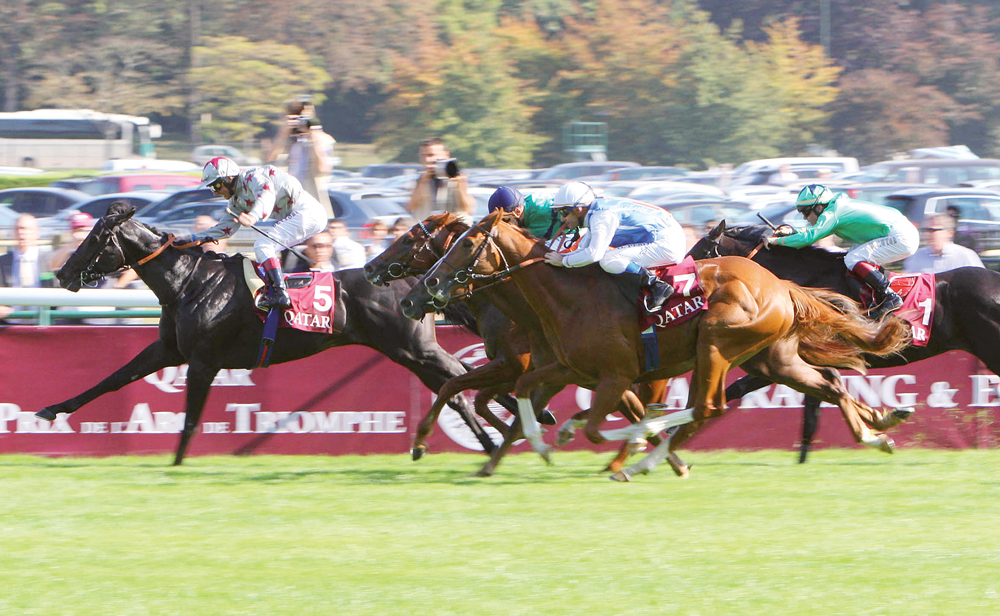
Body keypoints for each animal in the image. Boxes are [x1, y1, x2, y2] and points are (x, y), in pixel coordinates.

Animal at [36, 205, 500, 464]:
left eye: (97, 237)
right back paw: (491, 439)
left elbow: (190, 417)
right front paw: (52, 410)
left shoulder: (203, 360)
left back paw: (500, 432)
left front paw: (177, 463)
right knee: (455, 390)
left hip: (414, 349)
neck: (189, 282)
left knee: (462, 376)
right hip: (408, 353)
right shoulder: (168, 350)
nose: (63, 274)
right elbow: (114, 379)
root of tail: (419, 279)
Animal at [364, 214, 668, 478]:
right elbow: (482, 399)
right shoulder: (530, 370)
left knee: (640, 407)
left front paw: (421, 443)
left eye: (408, 239)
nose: (408, 302)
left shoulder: (517, 365)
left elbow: (458, 387)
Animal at [418, 212, 912, 482]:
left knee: (705, 407)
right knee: (825, 382)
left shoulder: (616, 374)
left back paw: (640, 461)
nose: (427, 287)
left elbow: (600, 425)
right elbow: (524, 395)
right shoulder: (568, 368)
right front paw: (530, 448)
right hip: (774, 359)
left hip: (715, 344)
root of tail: (780, 284)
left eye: (466, 243)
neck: (565, 295)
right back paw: (875, 433)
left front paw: (620, 443)